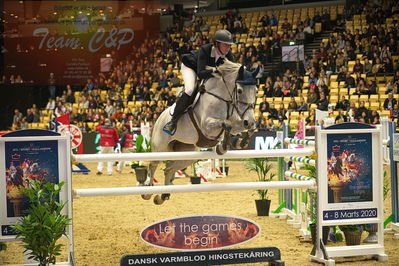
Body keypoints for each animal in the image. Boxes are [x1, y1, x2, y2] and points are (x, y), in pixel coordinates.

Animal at [144, 59, 260, 205]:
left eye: (256, 90)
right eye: (239, 90)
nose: (249, 121)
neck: (224, 98)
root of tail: (159, 117)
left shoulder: (238, 121)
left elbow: (242, 128)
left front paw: (240, 141)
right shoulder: (206, 124)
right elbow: (226, 124)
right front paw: (223, 146)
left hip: (187, 154)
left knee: (169, 169)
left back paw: (163, 196)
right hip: (160, 148)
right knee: (153, 164)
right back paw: (147, 192)